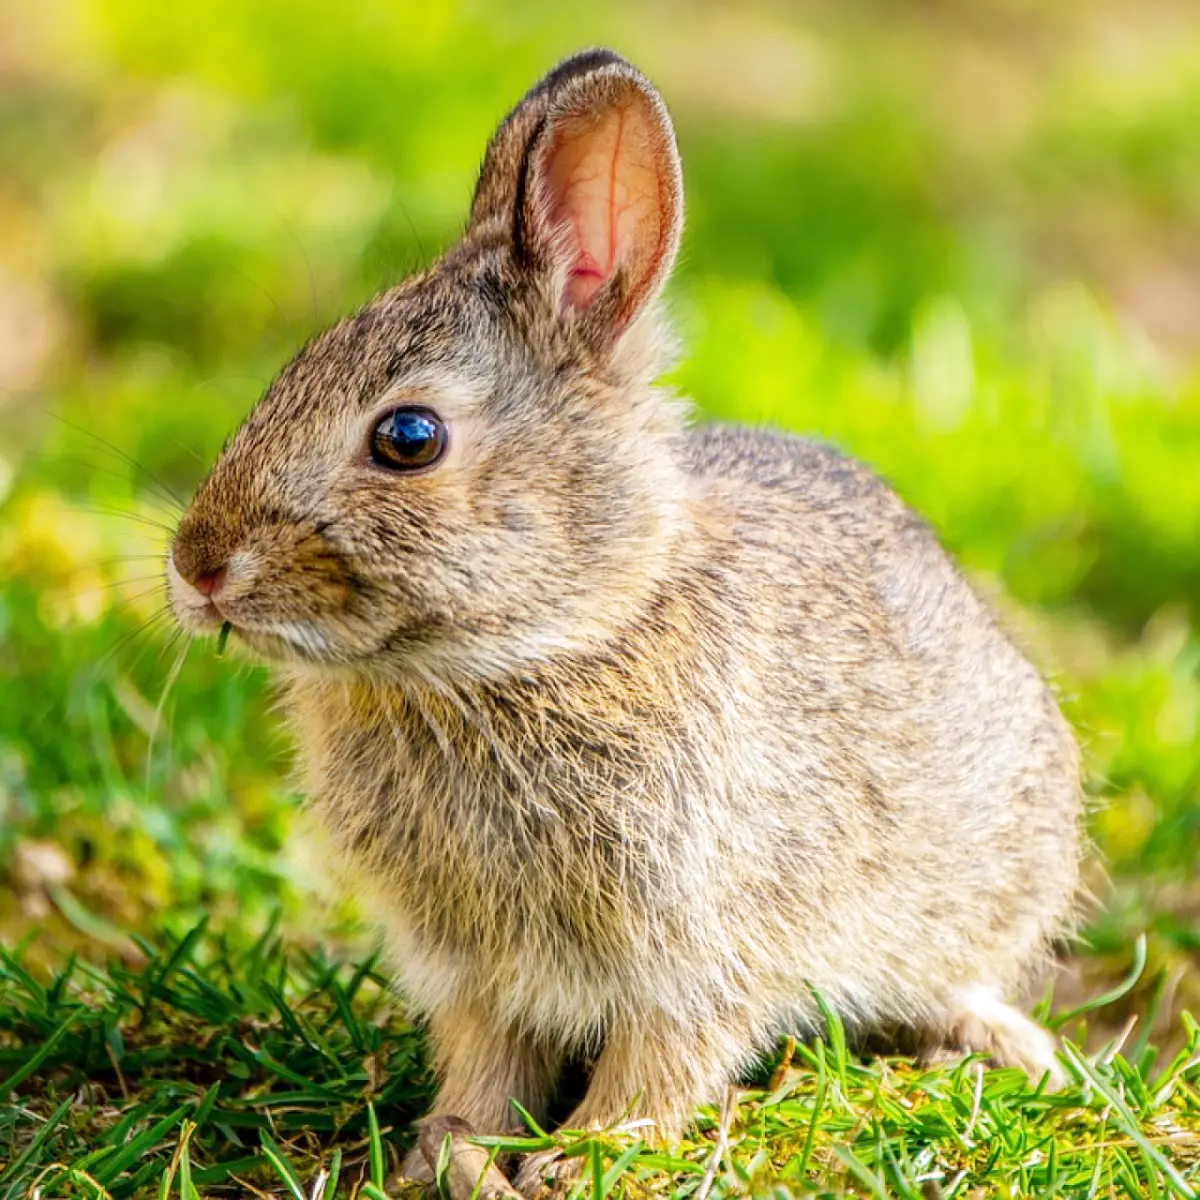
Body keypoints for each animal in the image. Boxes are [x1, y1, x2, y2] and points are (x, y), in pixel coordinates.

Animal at [169, 44, 1089, 1190]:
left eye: (409, 438)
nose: (197, 567)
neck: (543, 648)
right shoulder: (479, 970)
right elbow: (486, 1060)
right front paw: (451, 1152)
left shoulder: (705, 942)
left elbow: (666, 1057)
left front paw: (587, 1156)